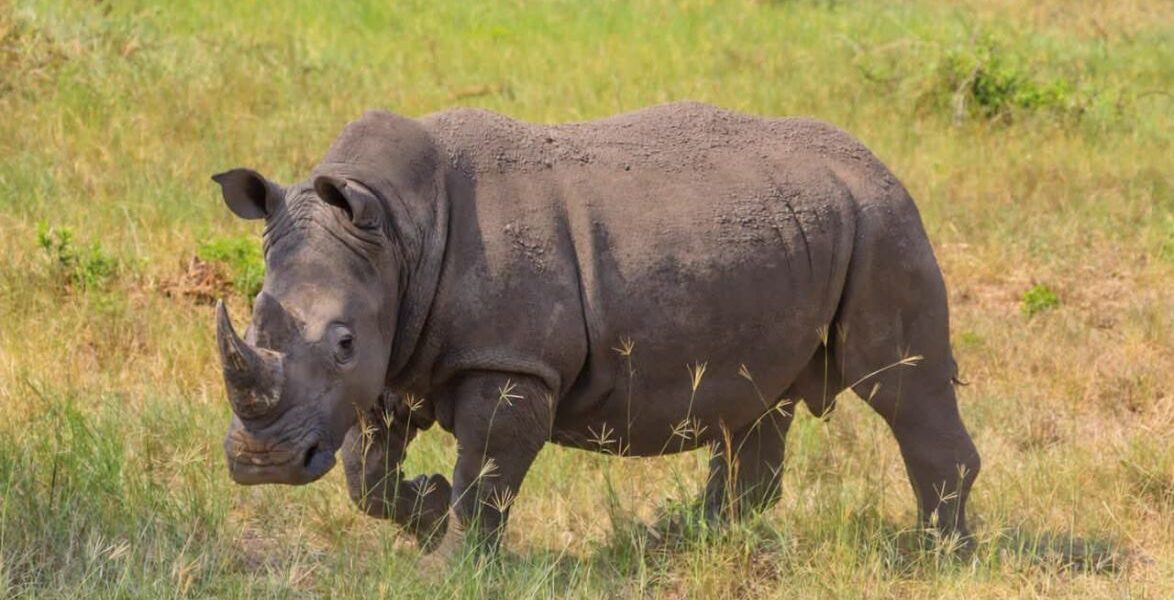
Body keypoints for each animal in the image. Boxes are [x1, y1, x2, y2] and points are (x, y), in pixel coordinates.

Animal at [211, 102, 980, 550]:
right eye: (256, 321)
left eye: (342, 343)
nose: (262, 464)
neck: (397, 228)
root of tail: (878, 162)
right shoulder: (398, 350)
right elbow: (364, 473)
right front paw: (425, 512)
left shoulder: (509, 359)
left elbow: (485, 474)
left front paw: (454, 564)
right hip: (795, 233)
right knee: (758, 403)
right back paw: (674, 540)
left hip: (883, 224)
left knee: (901, 384)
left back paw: (935, 557)